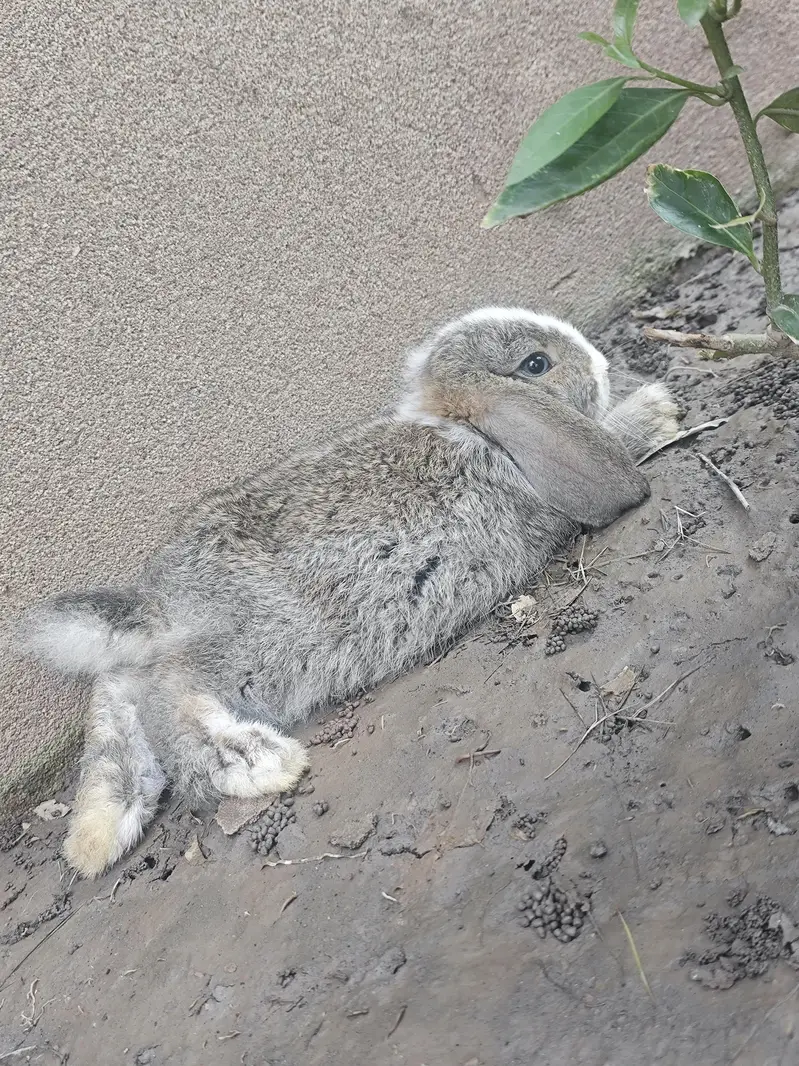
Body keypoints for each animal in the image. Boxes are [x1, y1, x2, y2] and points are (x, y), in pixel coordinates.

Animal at [18, 307, 679, 878]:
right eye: (536, 364)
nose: (600, 362)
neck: (475, 431)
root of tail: (156, 608)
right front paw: (657, 412)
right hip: (257, 650)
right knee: (168, 697)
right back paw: (258, 763)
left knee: (119, 701)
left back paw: (100, 830)